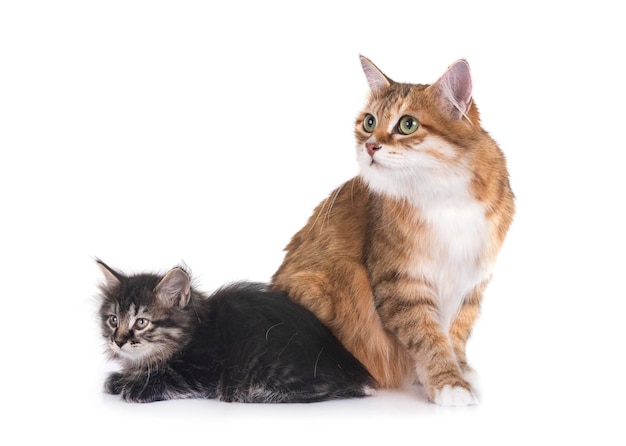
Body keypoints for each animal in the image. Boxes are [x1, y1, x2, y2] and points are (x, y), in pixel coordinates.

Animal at [95, 258, 372, 404]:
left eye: (141, 322)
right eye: (113, 320)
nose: (118, 341)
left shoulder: (204, 372)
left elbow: (172, 377)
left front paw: (136, 386)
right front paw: (121, 378)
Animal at [270, 55, 516, 404]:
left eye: (407, 124)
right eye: (369, 122)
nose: (371, 146)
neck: (444, 194)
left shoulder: (472, 283)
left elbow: (456, 335)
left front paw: (462, 371)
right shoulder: (403, 283)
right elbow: (429, 339)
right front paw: (449, 383)